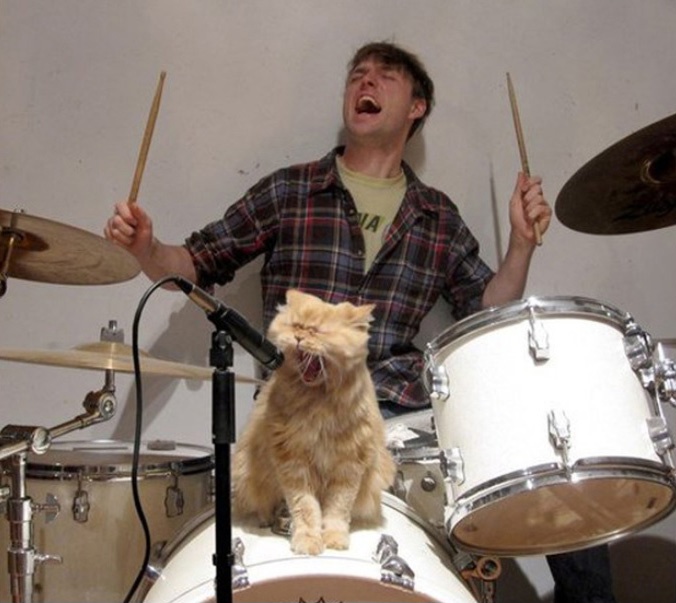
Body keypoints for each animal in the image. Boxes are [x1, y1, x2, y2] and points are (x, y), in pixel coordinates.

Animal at [232, 290, 396, 556]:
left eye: (317, 331)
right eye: (296, 326)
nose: (299, 337)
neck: (318, 403)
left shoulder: (348, 467)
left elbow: (338, 510)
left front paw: (334, 538)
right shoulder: (293, 464)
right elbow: (306, 509)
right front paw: (308, 540)